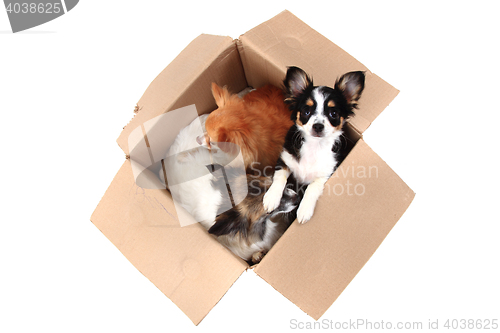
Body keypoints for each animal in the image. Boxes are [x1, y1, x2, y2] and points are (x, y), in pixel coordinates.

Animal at [264, 67, 366, 223]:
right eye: (306, 111)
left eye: (333, 113)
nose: (318, 126)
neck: (314, 145)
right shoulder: (285, 159)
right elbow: (279, 177)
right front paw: (271, 198)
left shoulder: (326, 174)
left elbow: (312, 188)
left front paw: (304, 210)